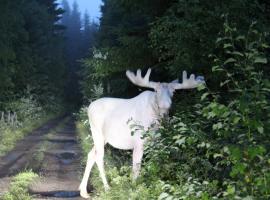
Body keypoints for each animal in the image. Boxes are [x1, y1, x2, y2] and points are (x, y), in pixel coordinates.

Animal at [79, 69, 204, 198]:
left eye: (173, 91)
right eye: (156, 91)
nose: (166, 105)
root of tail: (89, 107)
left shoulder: (155, 142)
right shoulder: (139, 141)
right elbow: (136, 166)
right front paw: (134, 188)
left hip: (103, 138)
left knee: (91, 154)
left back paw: (83, 191)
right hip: (97, 132)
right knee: (99, 157)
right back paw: (107, 188)